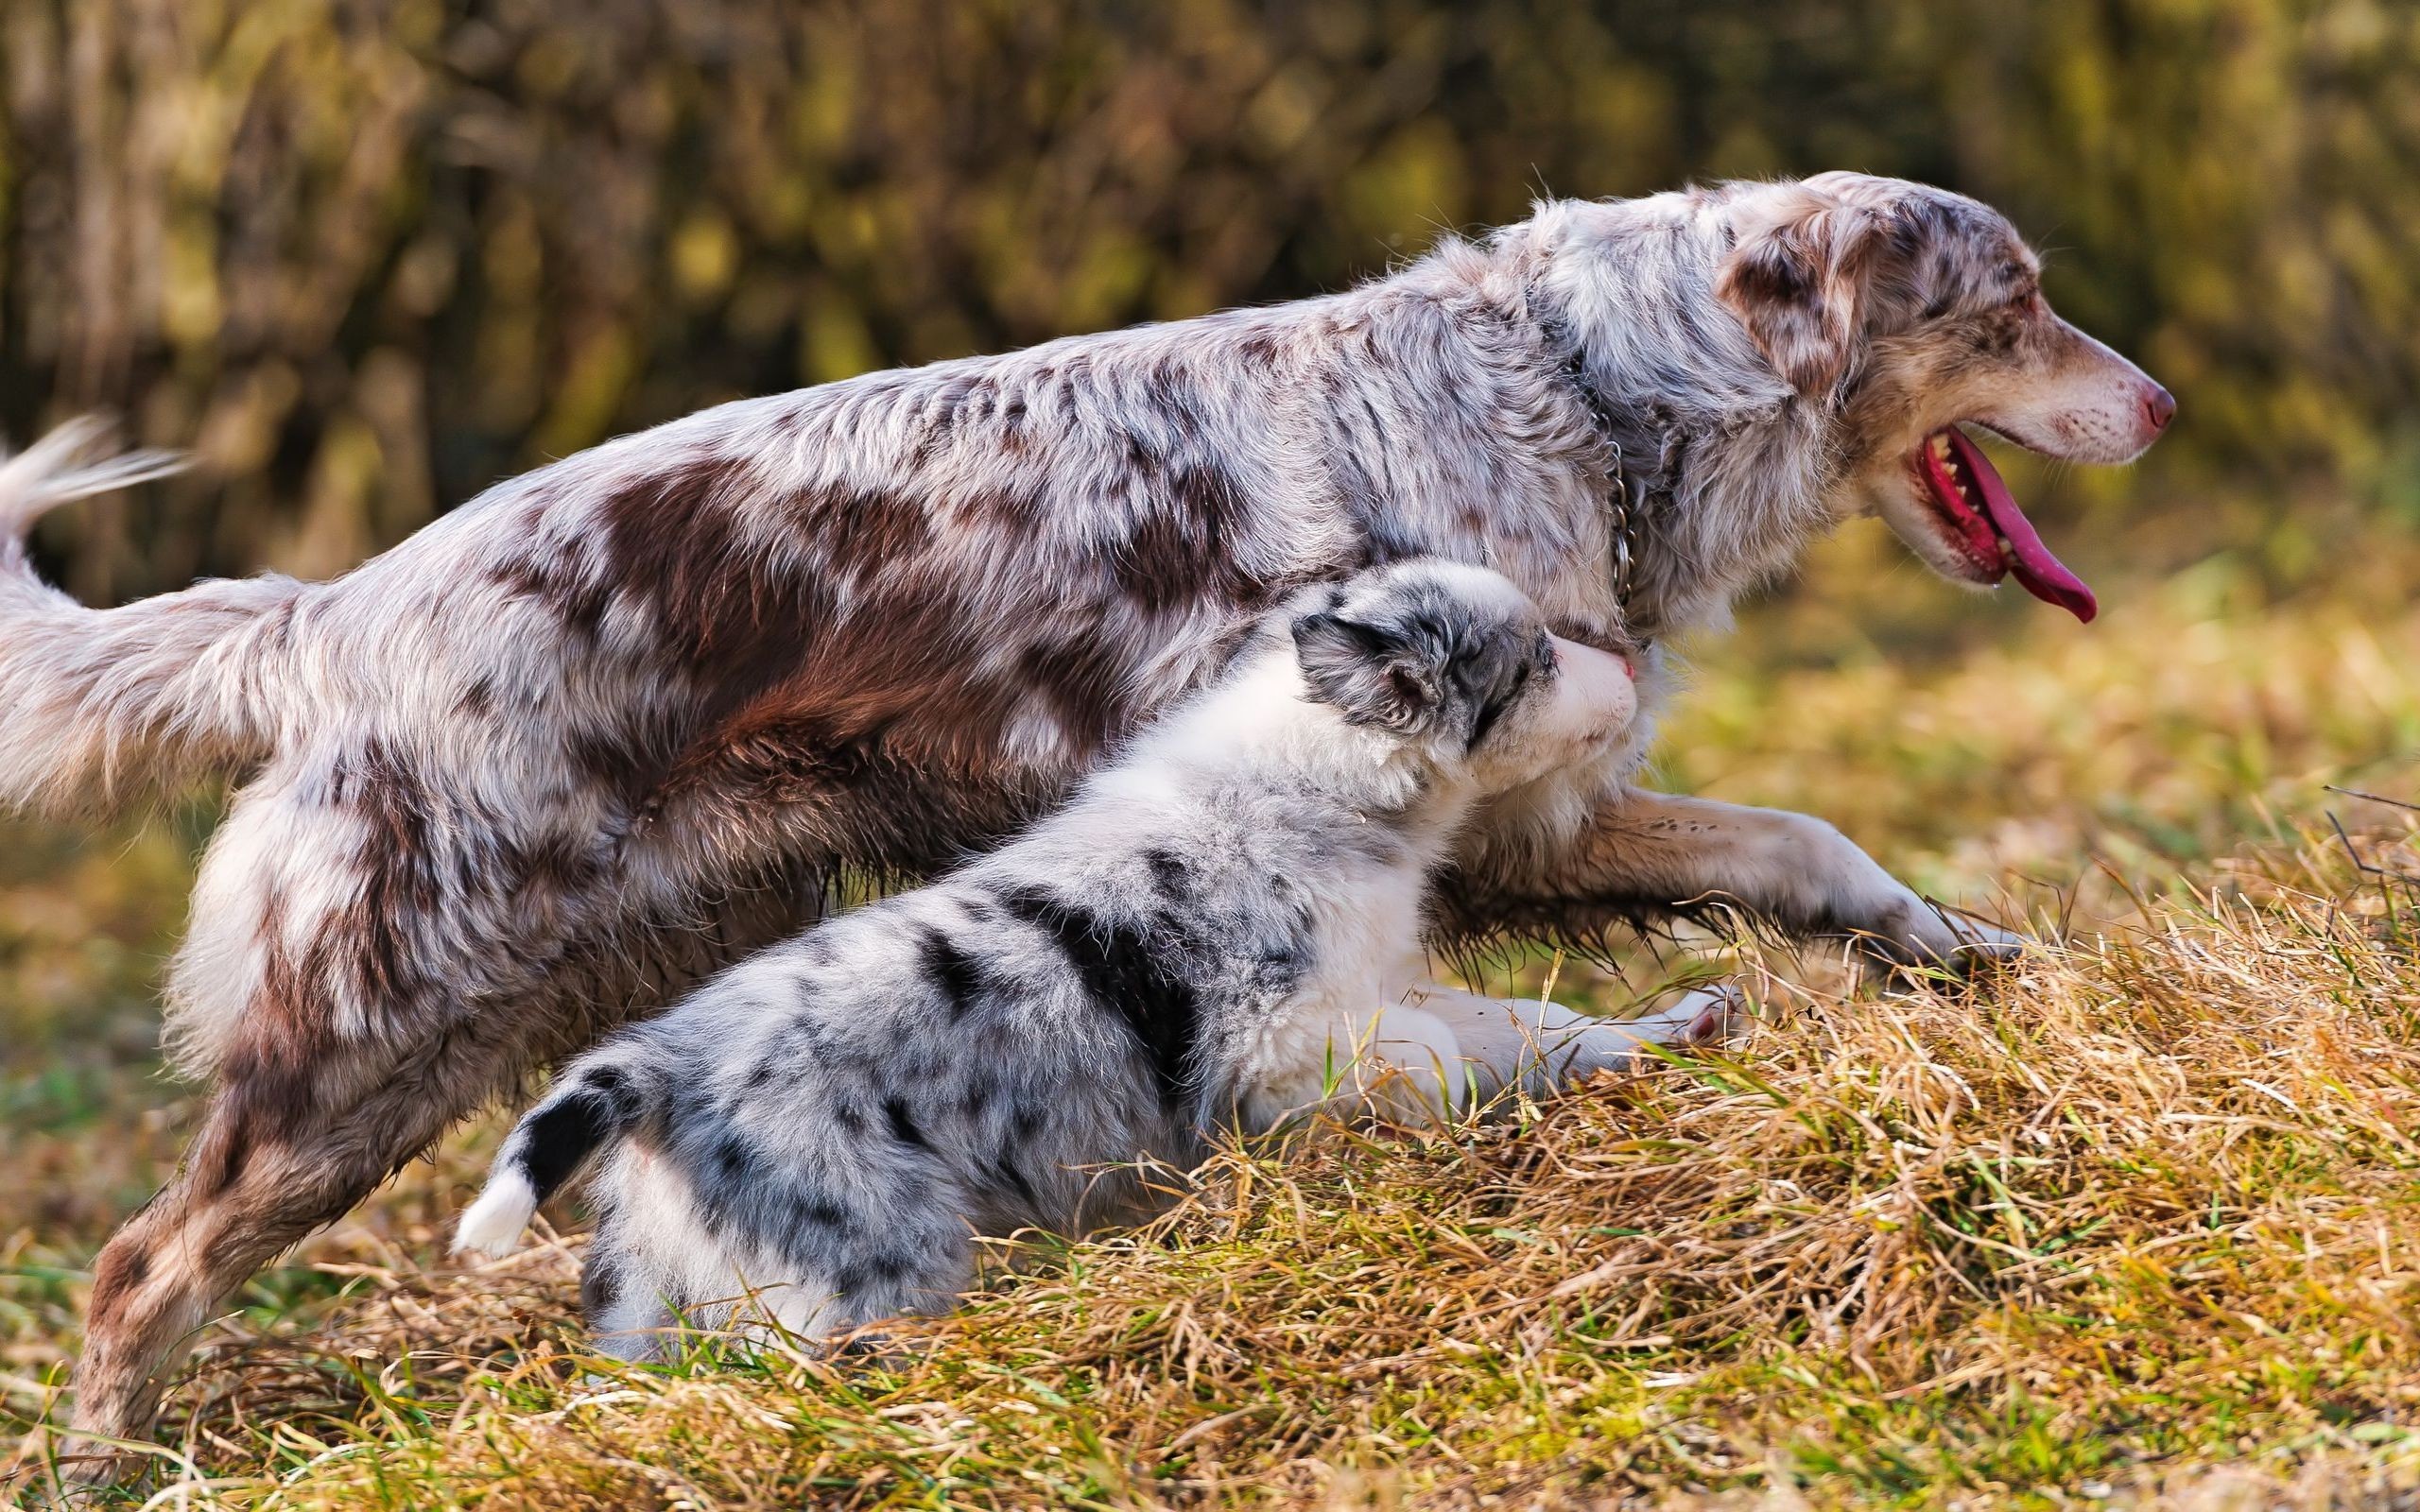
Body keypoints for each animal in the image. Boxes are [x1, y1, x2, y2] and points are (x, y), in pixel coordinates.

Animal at [457, 560, 1742, 1354]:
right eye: (1534, 664)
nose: (1631, 668)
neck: (1319, 780)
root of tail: (652, 1064)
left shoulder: (1381, 982)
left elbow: (1527, 1024)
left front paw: (1675, 1029)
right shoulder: (1283, 1042)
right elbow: (1429, 1056)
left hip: (658, 1292)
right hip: (860, 1268)